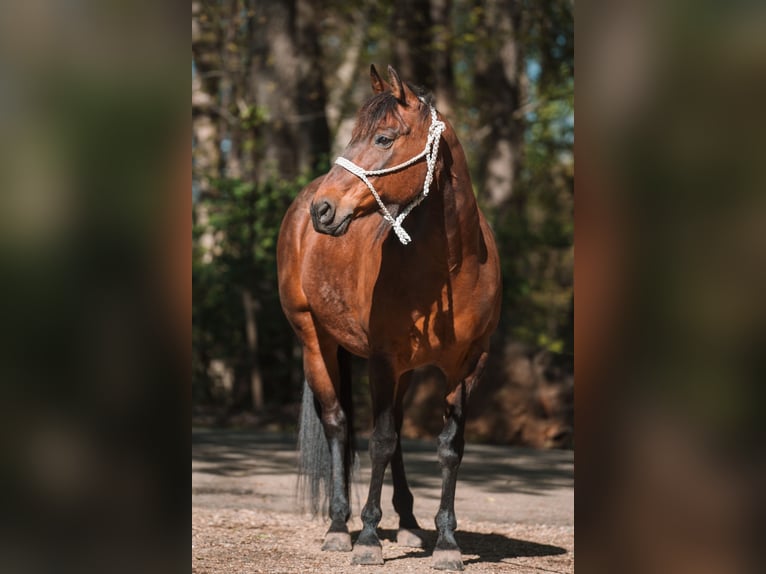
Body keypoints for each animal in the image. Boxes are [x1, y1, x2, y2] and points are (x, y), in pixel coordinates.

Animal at [277, 65, 501, 571]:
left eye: (383, 138)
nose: (324, 210)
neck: (451, 267)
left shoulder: (468, 367)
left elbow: (448, 447)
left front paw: (447, 543)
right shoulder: (381, 360)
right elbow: (377, 440)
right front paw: (367, 538)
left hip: (406, 372)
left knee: (395, 428)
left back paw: (410, 524)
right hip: (315, 342)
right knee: (338, 423)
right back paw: (339, 526)